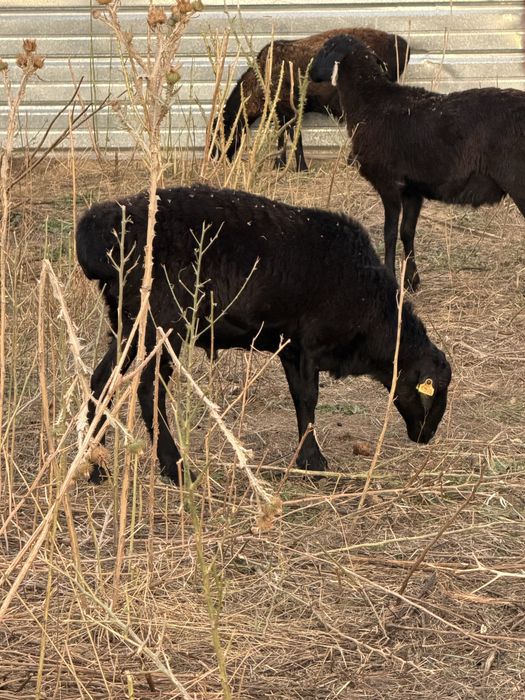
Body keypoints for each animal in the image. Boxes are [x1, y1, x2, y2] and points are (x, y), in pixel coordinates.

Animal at [76, 185, 451, 484]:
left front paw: (306, 458)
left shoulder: (291, 346)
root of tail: (99, 234)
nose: (427, 435)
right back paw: (176, 468)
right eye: (433, 390)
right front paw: (315, 462)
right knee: (149, 390)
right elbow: (310, 398)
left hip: (128, 322)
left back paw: (97, 466)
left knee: (103, 380)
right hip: (163, 322)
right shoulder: (310, 343)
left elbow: (299, 397)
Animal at [212, 28, 410, 172]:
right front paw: (279, 166)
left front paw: (300, 168)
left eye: (220, 133)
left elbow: (294, 138)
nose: (215, 159)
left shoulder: (289, 108)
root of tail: (402, 44)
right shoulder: (282, 112)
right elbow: (282, 136)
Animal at [310, 34, 525, 290]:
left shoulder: (389, 183)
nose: (310, 72)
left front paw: (392, 277)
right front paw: (411, 281)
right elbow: (407, 231)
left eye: (325, 48)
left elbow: (389, 233)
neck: (370, 102)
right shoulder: (412, 189)